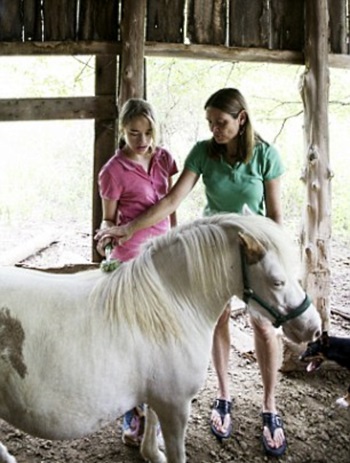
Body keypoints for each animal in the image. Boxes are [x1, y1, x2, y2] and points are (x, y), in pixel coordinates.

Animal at [0, 215, 322, 463]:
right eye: (277, 281)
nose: (314, 328)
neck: (171, 304)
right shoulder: (176, 406)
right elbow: (177, 452)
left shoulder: (160, 398)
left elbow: (151, 423)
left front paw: (152, 453)